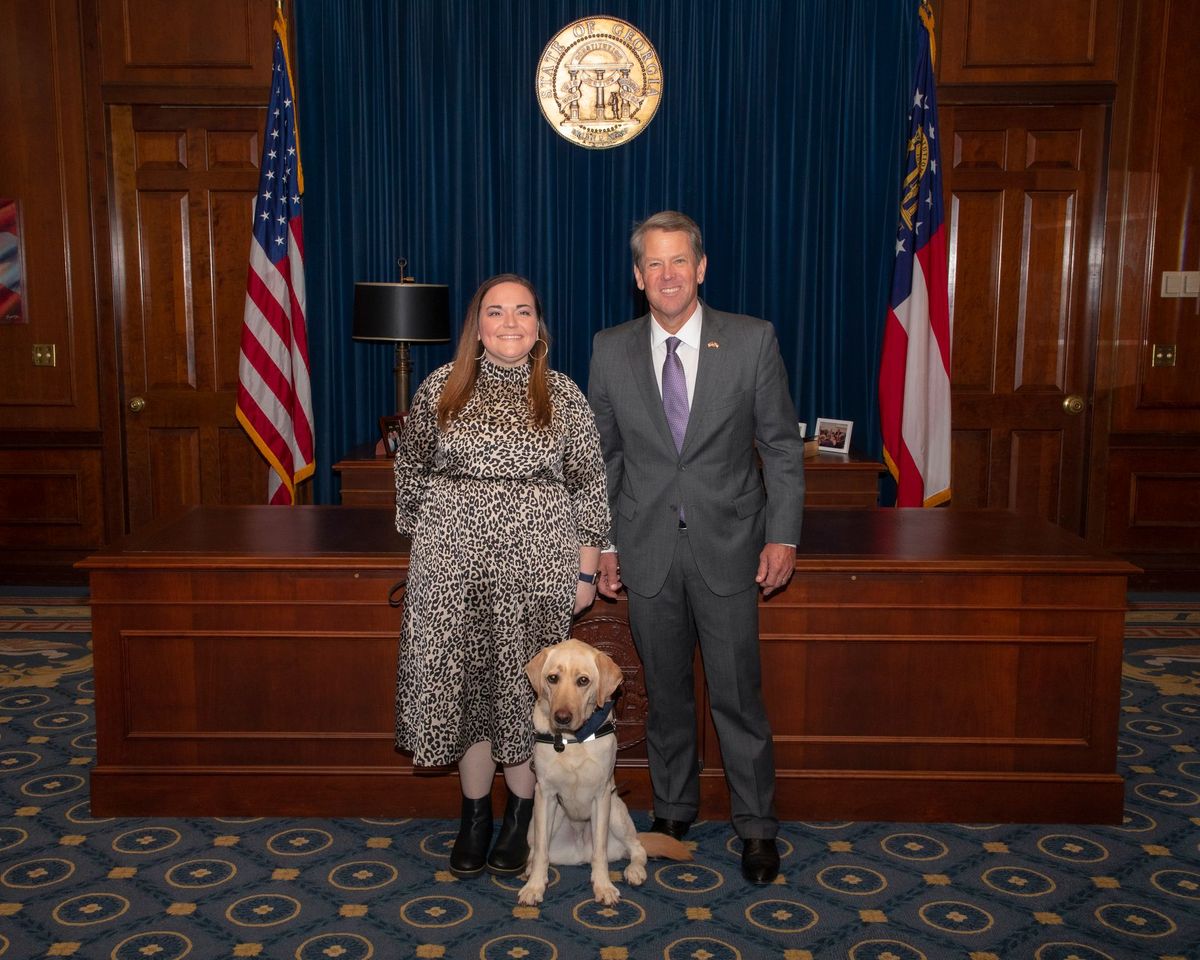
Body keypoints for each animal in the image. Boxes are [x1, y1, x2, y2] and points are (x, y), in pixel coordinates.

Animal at [518, 638, 696, 907]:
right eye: (552, 678)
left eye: (583, 680)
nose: (561, 717)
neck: (574, 739)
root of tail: (579, 852)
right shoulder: (545, 794)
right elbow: (541, 852)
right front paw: (535, 886)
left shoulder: (601, 796)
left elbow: (599, 851)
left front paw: (603, 886)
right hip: (540, 822)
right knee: (540, 849)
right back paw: (530, 869)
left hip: (616, 813)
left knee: (637, 848)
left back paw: (634, 871)